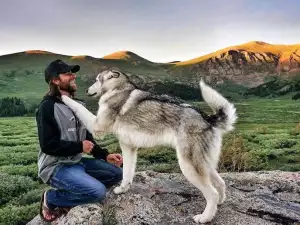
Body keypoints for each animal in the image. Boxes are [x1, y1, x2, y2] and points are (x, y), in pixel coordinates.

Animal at [61, 70, 238, 223]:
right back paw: (219, 204)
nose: (86, 89)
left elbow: (78, 106)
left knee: (212, 193)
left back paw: (205, 217)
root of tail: (207, 118)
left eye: (98, 79)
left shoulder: (97, 127)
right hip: (203, 164)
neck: (118, 89)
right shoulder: (128, 147)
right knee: (221, 184)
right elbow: (127, 173)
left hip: (189, 166)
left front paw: (62, 96)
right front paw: (123, 189)